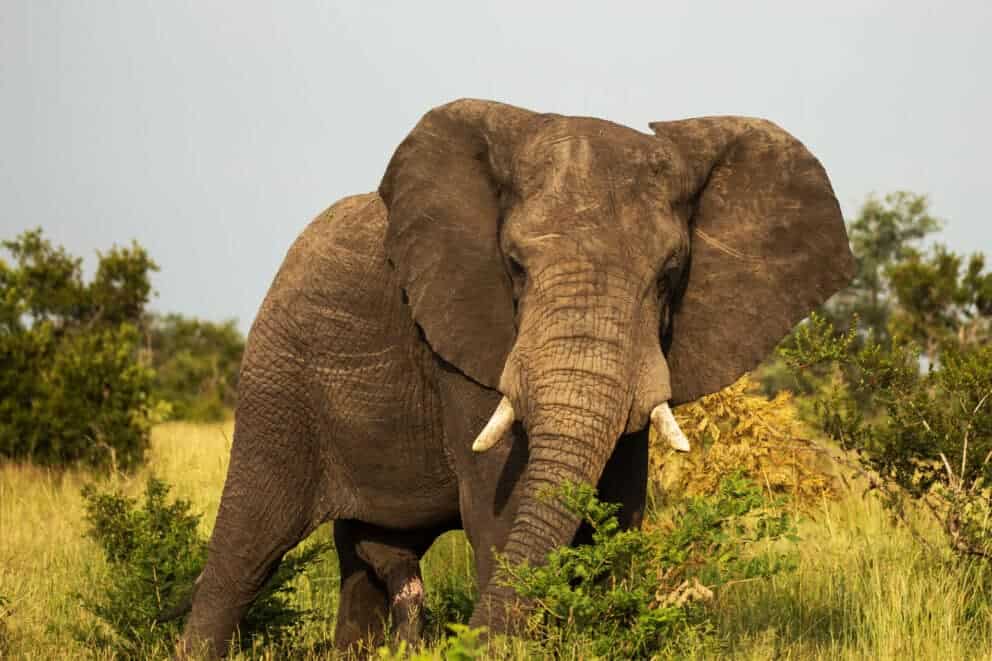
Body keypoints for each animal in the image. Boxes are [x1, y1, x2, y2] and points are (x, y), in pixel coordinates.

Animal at [178, 98, 854, 657]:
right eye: (513, 265)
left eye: (670, 272)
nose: (458, 639)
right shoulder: (465, 331)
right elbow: (498, 506)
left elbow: (620, 508)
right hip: (277, 376)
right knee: (249, 545)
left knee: (368, 560)